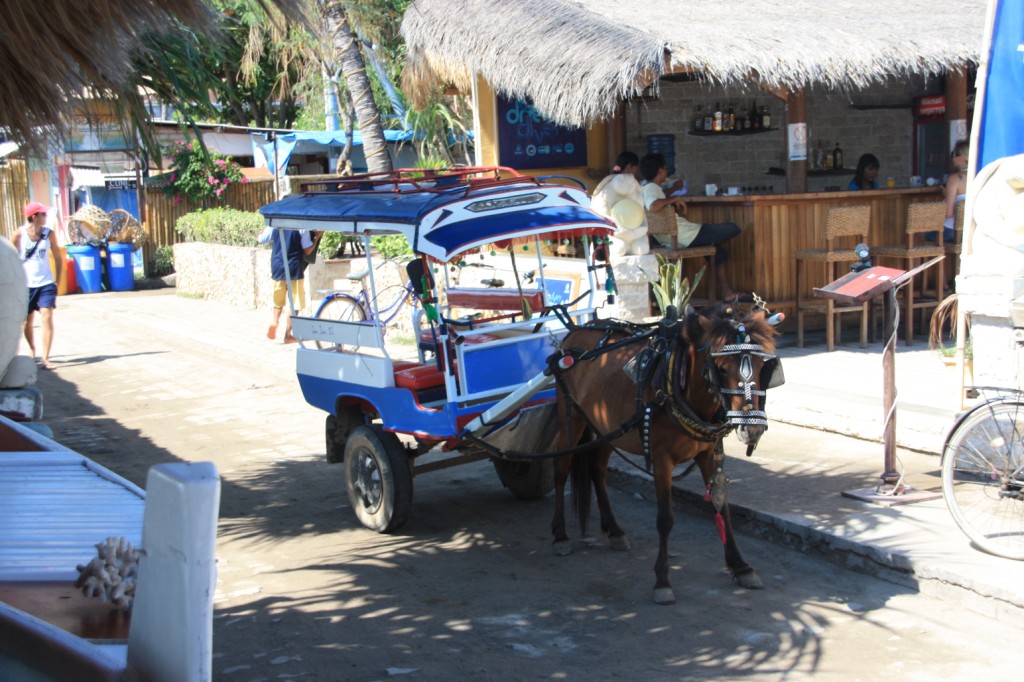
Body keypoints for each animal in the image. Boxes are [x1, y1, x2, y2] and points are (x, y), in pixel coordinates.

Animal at [552, 305, 774, 602]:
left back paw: (614, 530)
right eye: (722, 368)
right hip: (572, 417)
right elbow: (665, 518)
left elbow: (722, 508)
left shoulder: (708, 454)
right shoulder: (661, 459)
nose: (753, 429)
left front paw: (741, 566)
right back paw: (560, 535)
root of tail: (574, 332)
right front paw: (662, 580)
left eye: (763, 366)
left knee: (597, 470)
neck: (681, 389)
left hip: (606, 426)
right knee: (561, 467)